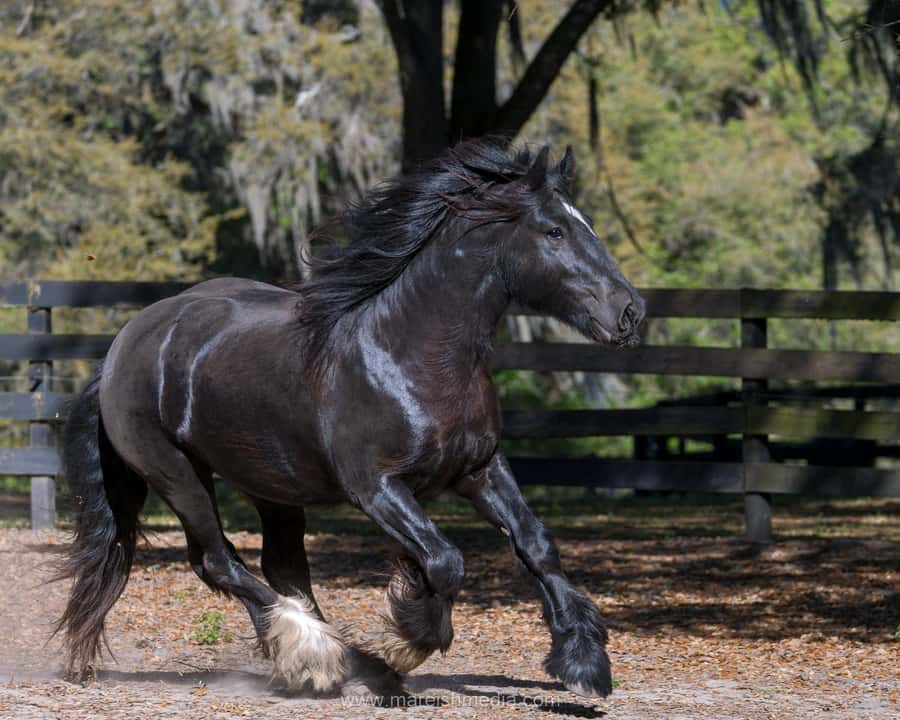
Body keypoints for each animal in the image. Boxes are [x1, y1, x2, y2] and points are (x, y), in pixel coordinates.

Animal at [55, 139, 645, 700]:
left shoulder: (480, 469)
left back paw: (337, 665)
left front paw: (584, 663)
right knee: (220, 563)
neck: (410, 353)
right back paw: (322, 654)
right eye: (554, 231)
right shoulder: (377, 488)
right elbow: (444, 560)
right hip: (178, 475)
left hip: (271, 485)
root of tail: (122, 346)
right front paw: (412, 635)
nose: (629, 312)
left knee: (280, 567)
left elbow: (536, 544)